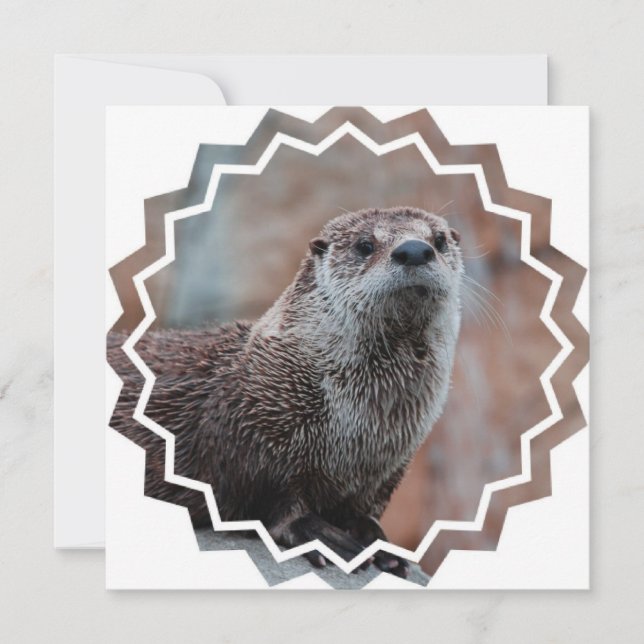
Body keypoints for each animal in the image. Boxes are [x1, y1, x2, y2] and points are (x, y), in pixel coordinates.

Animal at [109, 206, 463, 577]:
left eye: (438, 240)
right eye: (365, 245)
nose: (414, 250)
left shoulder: (389, 465)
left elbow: (364, 508)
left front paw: (377, 541)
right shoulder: (249, 435)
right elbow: (267, 502)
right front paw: (319, 534)